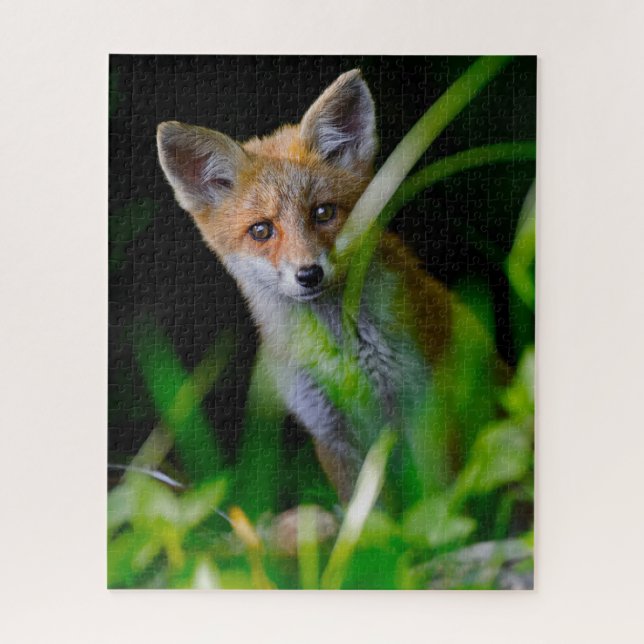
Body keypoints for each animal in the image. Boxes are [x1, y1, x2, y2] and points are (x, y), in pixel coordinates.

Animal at [157, 70, 502, 503]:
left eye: (322, 212)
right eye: (261, 230)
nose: (309, 274)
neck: (342, 354)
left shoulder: (424, 409)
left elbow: (433, 502)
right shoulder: (328, 431)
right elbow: (370, 512)